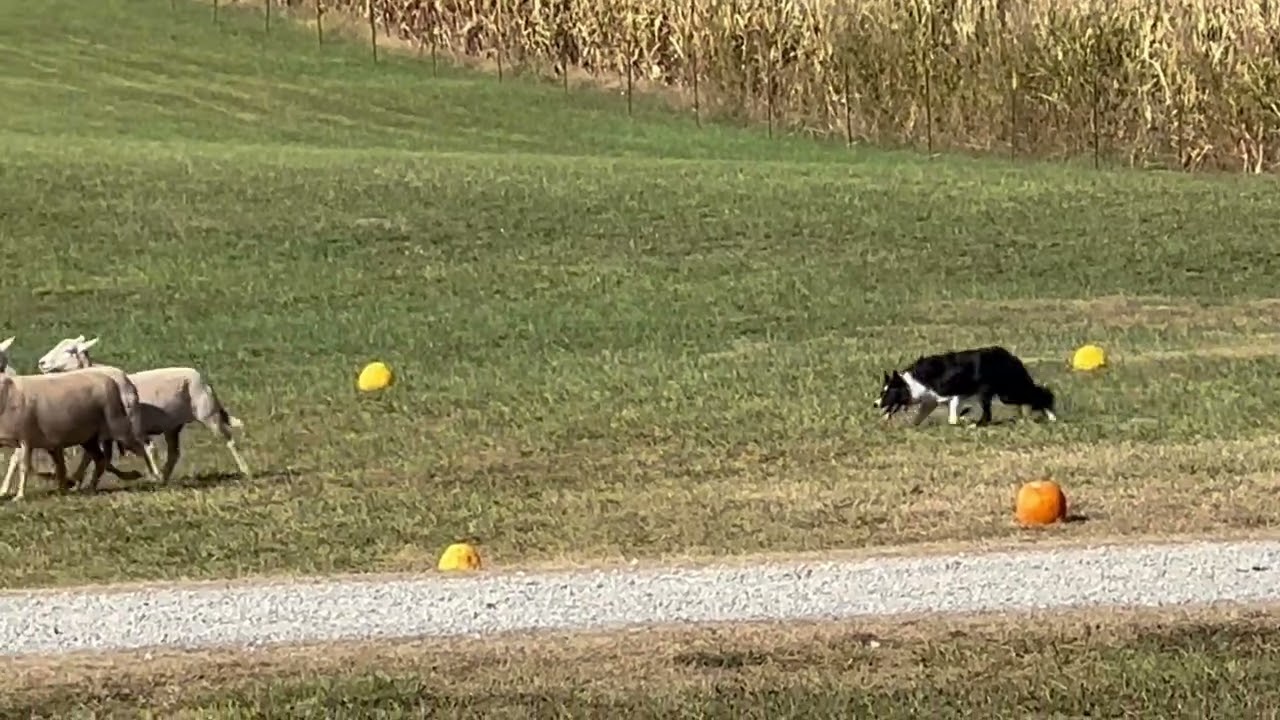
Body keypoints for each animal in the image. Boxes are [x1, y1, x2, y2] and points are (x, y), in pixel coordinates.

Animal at [0, 370, 155, 501]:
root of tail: (111, 379)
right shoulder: (41, 442)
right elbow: (54, 466)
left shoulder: (26, 439)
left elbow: (24, 467)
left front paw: (19, 496)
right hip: (89, 438)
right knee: (100, 460)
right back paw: (90, 488)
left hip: (118, 427)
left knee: (142, 447)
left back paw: (152, 477)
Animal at [36, 336, 252, 483]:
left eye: (69, 350)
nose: (41, 362)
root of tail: (200, 377)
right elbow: (92, 457)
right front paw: (75, 479)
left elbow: (94, 457)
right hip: (172, 426)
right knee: (174, 453)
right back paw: (163, 477)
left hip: (208, 414)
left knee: (229, 441)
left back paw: (245, 469)